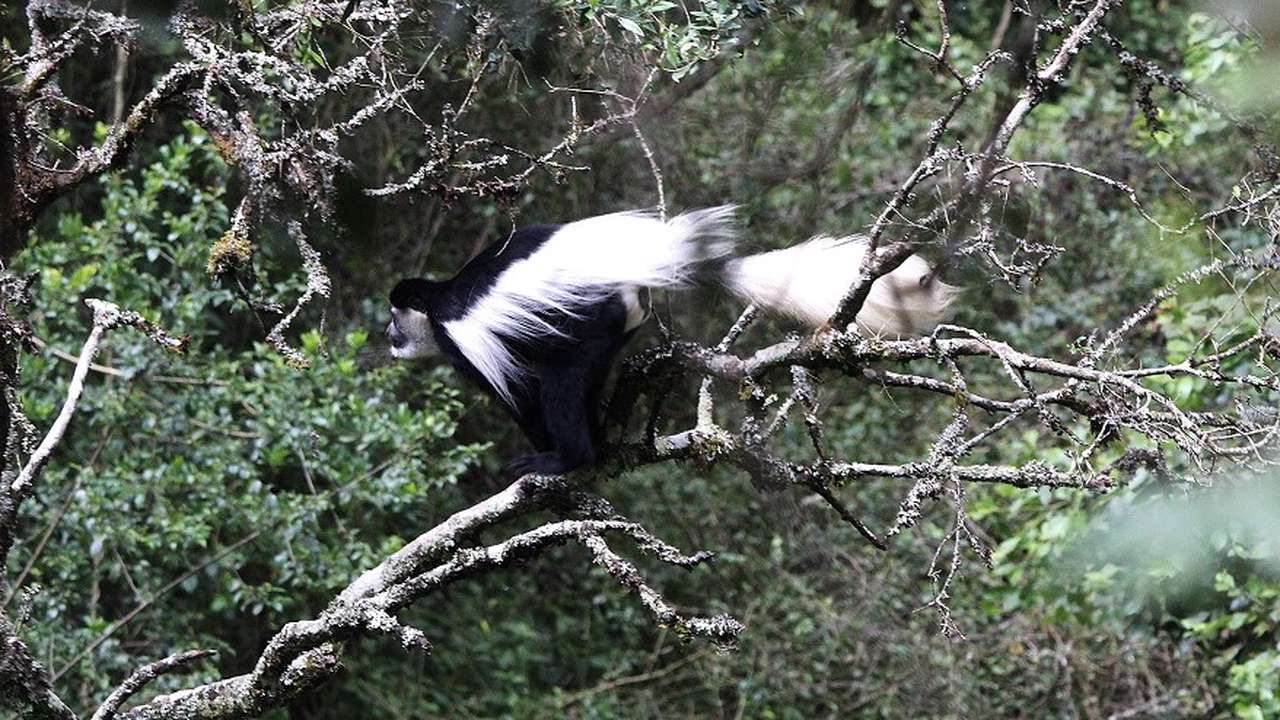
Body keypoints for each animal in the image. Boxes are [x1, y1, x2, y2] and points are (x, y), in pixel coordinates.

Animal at [386, 207, 955, 478]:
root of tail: (631, 267)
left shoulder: (464, 340)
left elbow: (520, 394)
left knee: (562, 384)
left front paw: (544, 453)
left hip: (590, 317)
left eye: (395, 318)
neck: (440, 301)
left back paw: (572, 457)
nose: (389, 336)